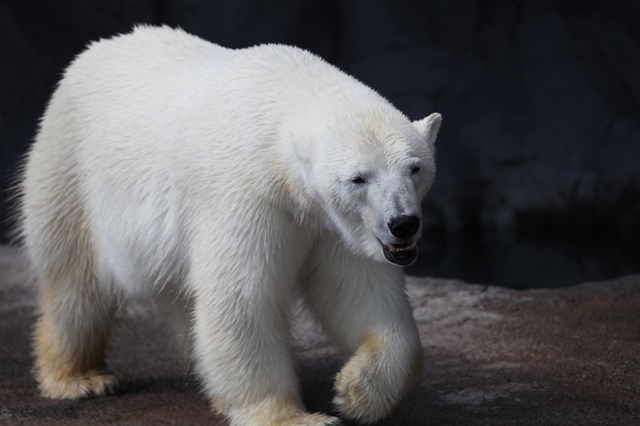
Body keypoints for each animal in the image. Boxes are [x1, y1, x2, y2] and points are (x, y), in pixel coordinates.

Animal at [18, 26, 440, 426]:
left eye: (414, 167)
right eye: (358, 178)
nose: (403, 224)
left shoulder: (334, 225)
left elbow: (360, 291)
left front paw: (357, 392)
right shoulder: (247, 196)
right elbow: (242, 299)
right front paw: (291, 417)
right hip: (71, 174)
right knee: (75, 282)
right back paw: (78, 378)